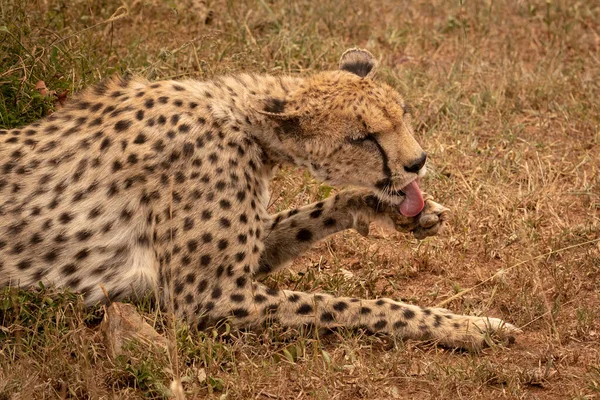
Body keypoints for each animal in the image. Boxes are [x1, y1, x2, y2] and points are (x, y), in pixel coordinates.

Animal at [0, 49, 516, 350]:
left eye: (402, 115)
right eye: (362, 138)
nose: (417, 162)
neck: (240, 120)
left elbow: (311, 215)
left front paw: (399, 212)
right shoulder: (204, 295)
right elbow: (354, 306)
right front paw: (467, 327)